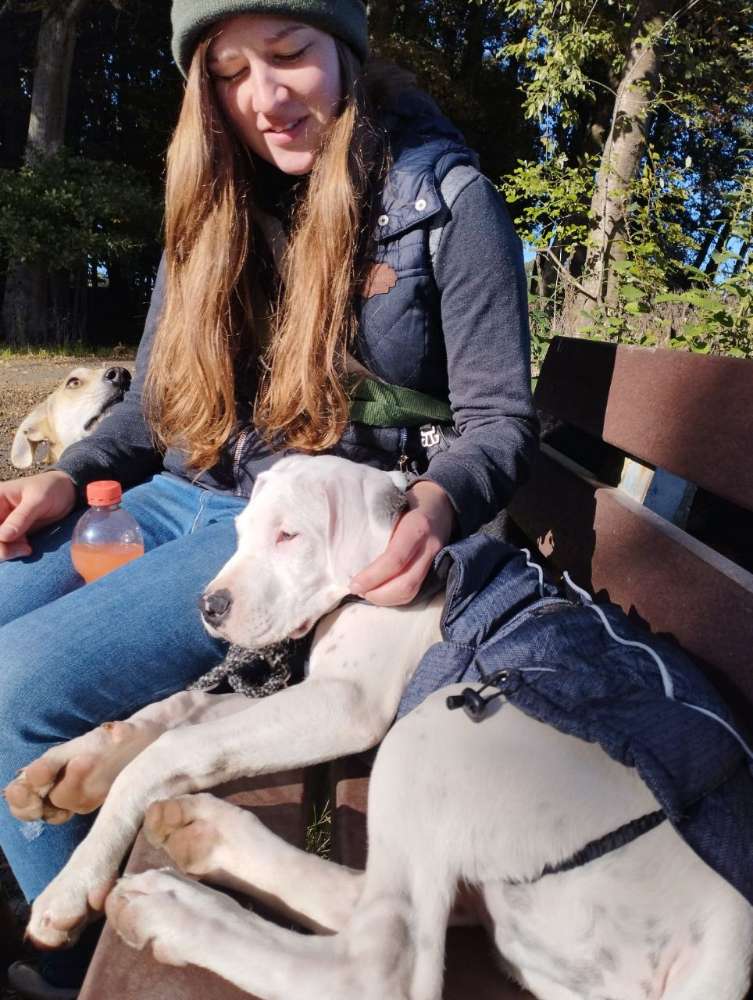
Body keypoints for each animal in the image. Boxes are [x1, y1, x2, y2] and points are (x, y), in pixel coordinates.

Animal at [5, 455, 753, 1000]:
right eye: (242, 535)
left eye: (289, 536)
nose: (208, 606)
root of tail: (725, 938)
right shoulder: (306, 694)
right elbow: (176, 715)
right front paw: (70, 769)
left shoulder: (346, 704)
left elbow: (176, 744)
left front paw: (73, 882)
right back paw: (206, 835)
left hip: (444, 725)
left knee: (382, 962)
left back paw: (176, 911)